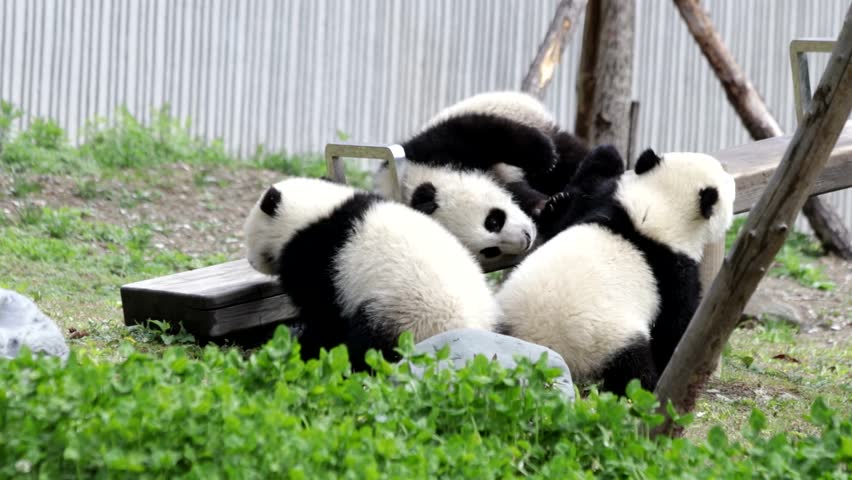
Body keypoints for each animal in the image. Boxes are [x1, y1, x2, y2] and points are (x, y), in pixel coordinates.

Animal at [241, 178, 500, 370]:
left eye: (249, 236)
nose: (251, 262)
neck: (314, 212)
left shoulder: (320, 258)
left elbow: (324, 315)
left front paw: (305, 349)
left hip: (405, 312)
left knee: (369, 344)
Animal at [496, 145, 736, 394]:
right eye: (728, 184)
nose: (733, 181)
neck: (658, 211)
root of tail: (542, 351)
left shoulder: (603, 209)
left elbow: (566, 216)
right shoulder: (671, 270)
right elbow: (675, 326)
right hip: (607, 342)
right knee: (632, 371)